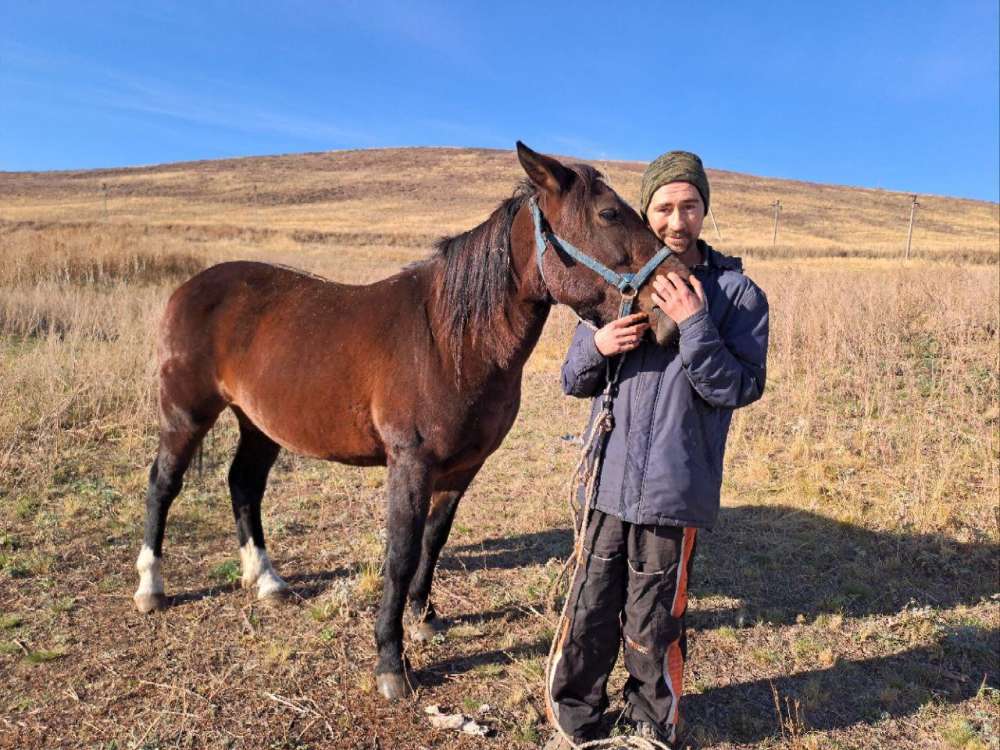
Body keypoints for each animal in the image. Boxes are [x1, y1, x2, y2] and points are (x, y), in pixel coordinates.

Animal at [132, 142, 690, 700]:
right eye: (609, 214)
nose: (674, 305)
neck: (451, 340)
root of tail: (190, 286)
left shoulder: (462, 468)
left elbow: (433, 540)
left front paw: (424, 617)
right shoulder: (410, 464)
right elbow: (399, 555)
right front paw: (390, 661)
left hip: (259, 424)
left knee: (244, 484)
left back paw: (266, 580)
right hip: (185, 414)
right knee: (163, 484)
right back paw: (151, 586)